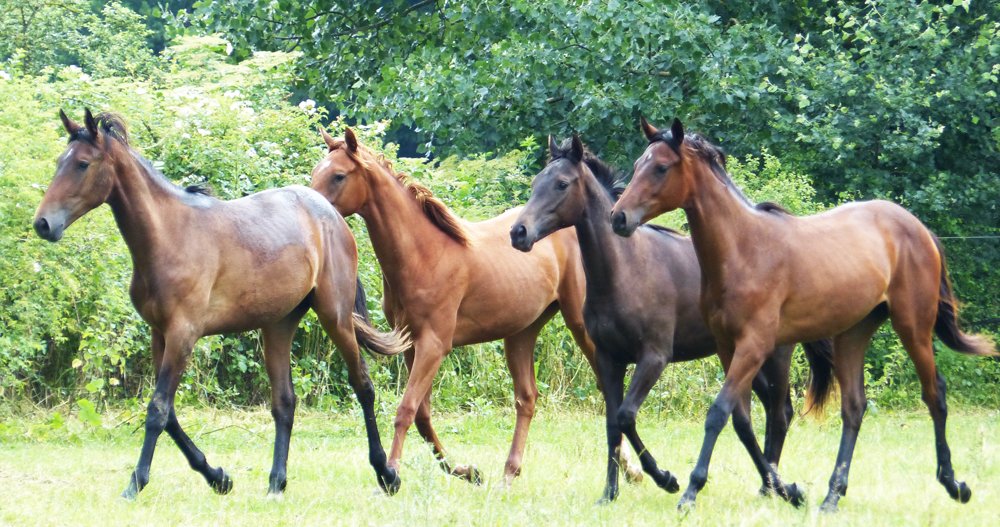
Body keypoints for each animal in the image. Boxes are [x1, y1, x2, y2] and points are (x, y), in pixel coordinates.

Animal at [34, 109, 409, 499]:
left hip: (334, 316)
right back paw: (276, 483)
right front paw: (218, 476)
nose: (43, 223)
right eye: (60, 162)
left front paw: (135, 484)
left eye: (82, 164)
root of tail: (332, 217)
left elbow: (158, 410)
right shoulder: (160, 335)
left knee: (362, 385)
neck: (169, 236)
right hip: (278, 324)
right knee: (284, 401)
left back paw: (386, 474)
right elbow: (169, 414)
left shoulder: (182, 335)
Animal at [309, 127, 642, 486]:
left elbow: (406, 410)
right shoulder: (412, 345)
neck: (424, 254)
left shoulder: (434, 344)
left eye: (339, 175)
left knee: (602, 387)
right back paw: (509, 473)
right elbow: (423, 415)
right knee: (527, 397)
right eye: (316, 172)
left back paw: (631, 469)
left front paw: (391, 475)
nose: (311, 207)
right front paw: (466, 471)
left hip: (578, 324)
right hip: (522, 332)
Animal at [510, 135, 833, 503]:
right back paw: (770, 485)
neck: (625, 270)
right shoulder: (609, 359)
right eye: (536, 182)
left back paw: (776, 487)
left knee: (780, 413)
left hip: (774, 353)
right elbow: (612, 424)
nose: (518, 232)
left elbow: (626, 416)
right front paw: (610, 493)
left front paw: (666, 478)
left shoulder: (654, 357)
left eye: (562, 184)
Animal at [611, 117, 997, 511]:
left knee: (935, 394)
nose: (618, 217)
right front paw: (786, 489)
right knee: (854, 407)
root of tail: (918, 228)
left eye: (661, 167)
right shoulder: (727, 347)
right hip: (853, 333)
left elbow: (719, 412)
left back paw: (954, 484)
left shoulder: (754, 346)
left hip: (913, 325)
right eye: (639, 164)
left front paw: (690, 491)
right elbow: (741, 421)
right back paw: (831, 496)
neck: (743, 250)